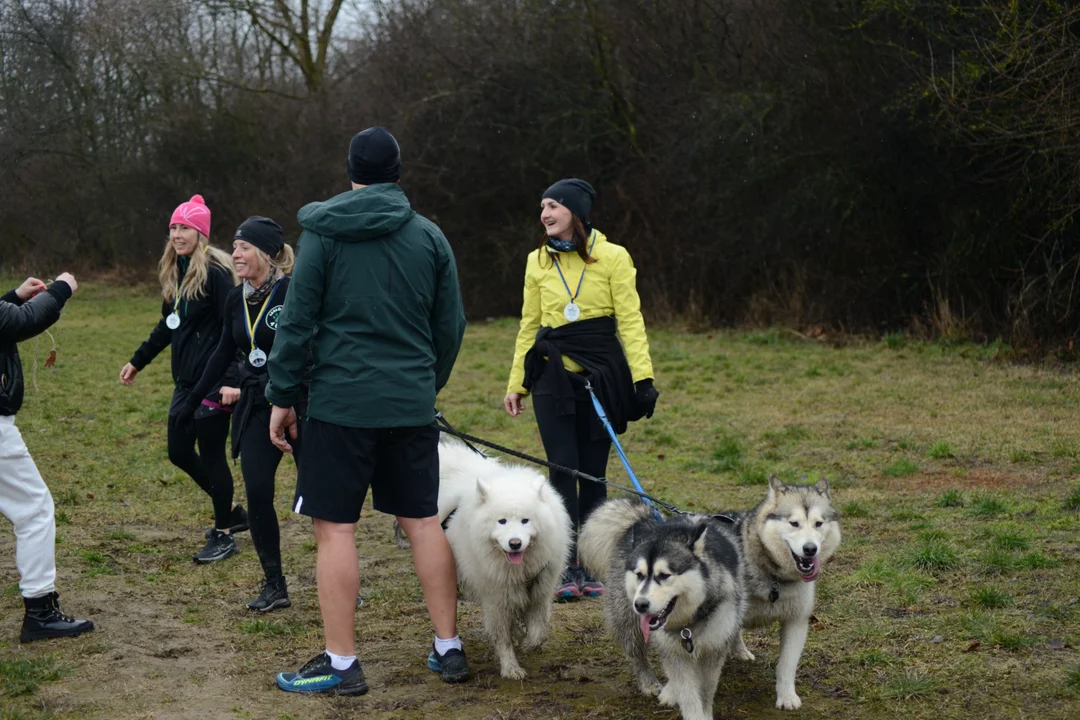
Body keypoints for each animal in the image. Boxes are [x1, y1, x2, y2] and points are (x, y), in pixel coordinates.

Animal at [436, 440, 578, 682]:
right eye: (501, 521)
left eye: (525, 520)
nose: (515, 543)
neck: (520, 570)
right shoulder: (496, 598)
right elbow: (503, 638)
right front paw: (510, 668)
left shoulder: (540, 590)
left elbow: (539, 629)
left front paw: (529, 644)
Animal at [578, 500, 747, 720]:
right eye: (639, 575)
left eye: (665, 575)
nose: (640, 605)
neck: (688, 623)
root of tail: (646, 520)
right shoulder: (673, 651)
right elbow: (687, 693)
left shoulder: (714, 647)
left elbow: (705, 690)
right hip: (628, 620)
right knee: (637, 652)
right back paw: (649, 682)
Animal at [725, 474, 842, 712]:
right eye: (794, 523)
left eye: (818, 523)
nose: (810, 549)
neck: (774, 578)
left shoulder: (796, 621)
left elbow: (786, 666)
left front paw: (787, 696)